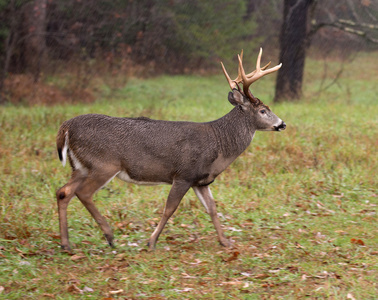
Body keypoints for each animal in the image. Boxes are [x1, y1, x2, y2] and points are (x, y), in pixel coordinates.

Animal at [56, 48, 284, 252]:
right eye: (263, 110)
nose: (282, 124)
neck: (219, 143)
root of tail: (66, 127)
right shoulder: (184, 174)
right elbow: (169, 209)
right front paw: (151, 242)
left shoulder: (200, 180)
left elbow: (212, 208)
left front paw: (225, 242)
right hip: (104, 164)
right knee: (83, 193)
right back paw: (109, 236)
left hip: (81, 167)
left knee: (63, 192)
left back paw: (67, 244)